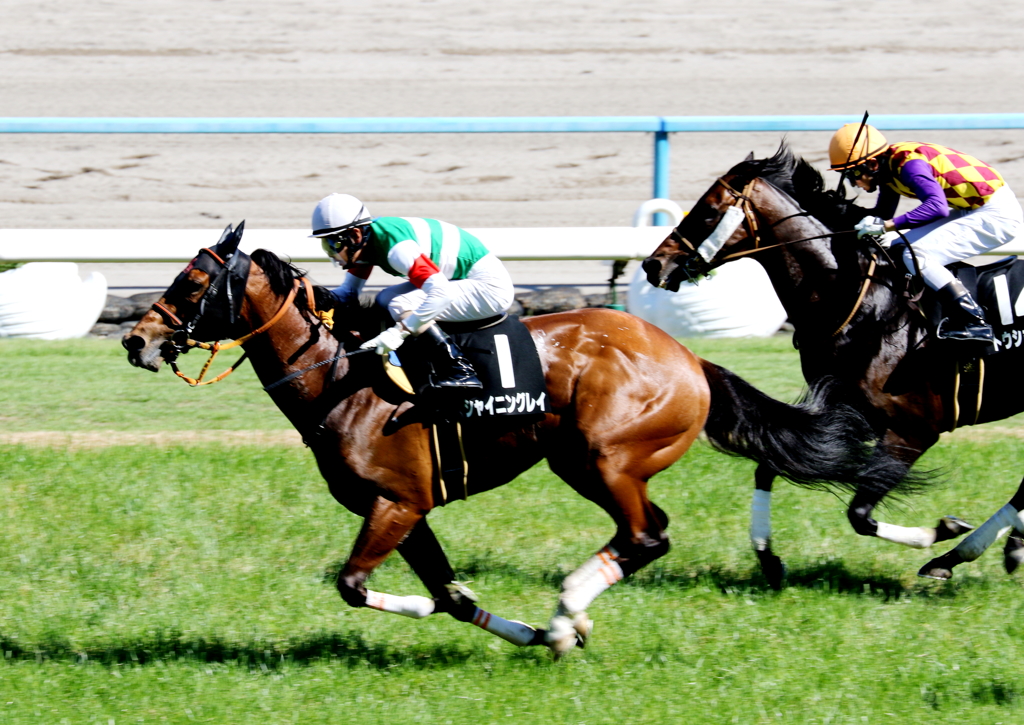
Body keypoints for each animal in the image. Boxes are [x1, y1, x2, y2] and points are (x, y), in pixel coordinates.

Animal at [125, 223, 897, 655]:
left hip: (604, 456)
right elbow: (452, 596)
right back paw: (563, 623)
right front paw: (521, 634)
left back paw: (567, 612)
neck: (343, 379)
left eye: (192, 282)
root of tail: (688, 358)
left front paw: (537, 629)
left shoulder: (396, 503)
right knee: (644, 532)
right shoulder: (408, 511)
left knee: (646, 535)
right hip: (584, 462)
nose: (138, 339)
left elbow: (358, 585)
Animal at [638, 144, 1024, 585]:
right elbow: (769, 465)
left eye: (707, 211)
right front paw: (768, 558)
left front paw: (939, 530)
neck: (864, 303)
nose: (654, 265)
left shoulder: (913, 430)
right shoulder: (845, 416)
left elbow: (859, 514)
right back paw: (992, 549)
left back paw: (961, 553)